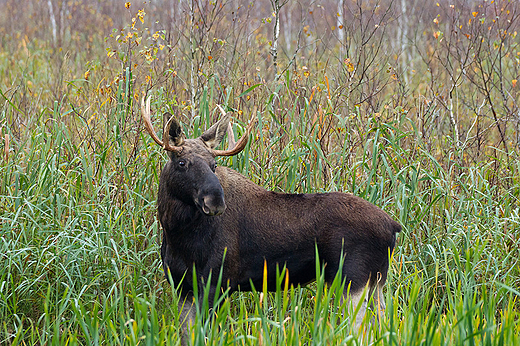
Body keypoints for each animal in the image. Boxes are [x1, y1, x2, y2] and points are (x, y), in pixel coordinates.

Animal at [140, 96, 400, 342]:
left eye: (214, 165)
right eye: (182, 162)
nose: (215, 202)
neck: (177, 233)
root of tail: (394, 226)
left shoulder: (217, 282)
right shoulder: (181, 285)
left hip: (353, 280)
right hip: (376, 282)